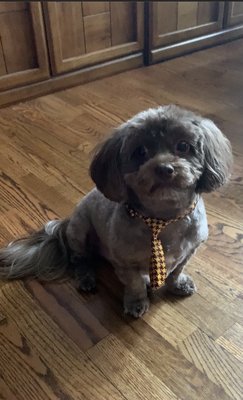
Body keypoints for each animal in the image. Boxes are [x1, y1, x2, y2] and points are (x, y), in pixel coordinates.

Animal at [0, 104, 232, 318]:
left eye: (183, 146)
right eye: (140, 151)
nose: (165, 168)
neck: (163, 218)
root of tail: (65, 223)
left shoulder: (190, 250)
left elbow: (176, 271)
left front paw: (178, 284)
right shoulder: (124, 263)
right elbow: (135, 284)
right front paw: (136, 302)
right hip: (80, 230)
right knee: (79, 259)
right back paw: (86, 278)